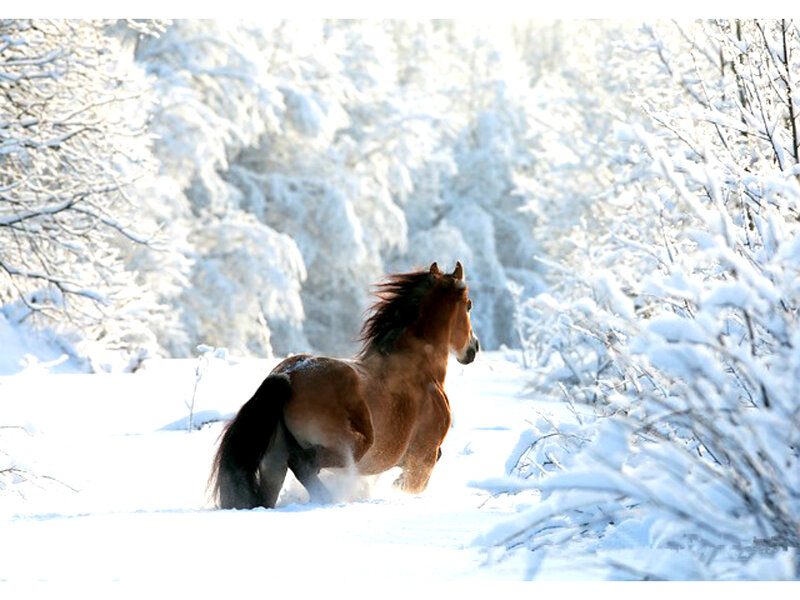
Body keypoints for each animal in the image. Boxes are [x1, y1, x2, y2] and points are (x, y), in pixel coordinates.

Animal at [209, 260, 480, 509]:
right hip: (351, 446)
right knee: (303, 463)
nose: (474, 348)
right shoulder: (424, 457)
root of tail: (287, 376)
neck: (421, 370)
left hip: (273, 462)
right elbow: (412, 485)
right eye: (468, 305)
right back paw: (328, 499)